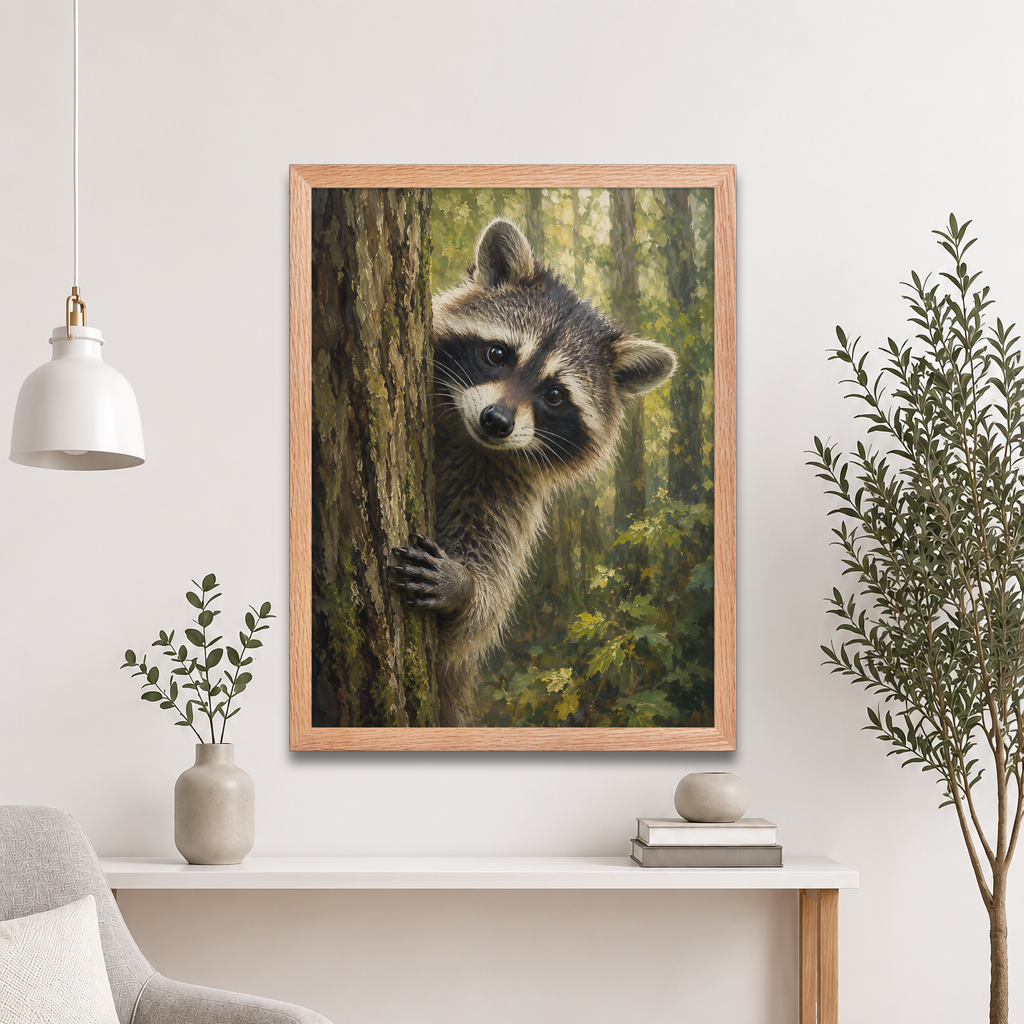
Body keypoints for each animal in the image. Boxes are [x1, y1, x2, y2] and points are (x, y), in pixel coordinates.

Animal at [390, 218, 677, 727]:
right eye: (497, 354)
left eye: (556, 395)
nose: (496, 421)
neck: (470, 440)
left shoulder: (509, 491)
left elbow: (475, 620)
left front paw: (466, 588)